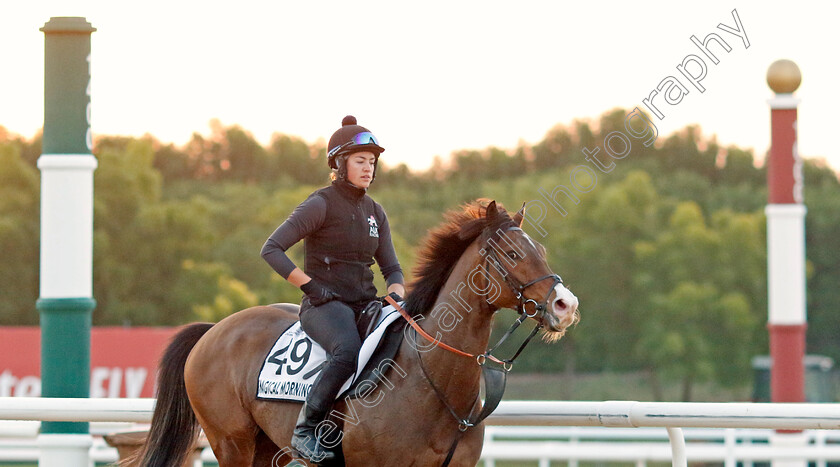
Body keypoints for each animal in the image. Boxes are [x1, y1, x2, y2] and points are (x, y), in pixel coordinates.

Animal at [138, 199, 580, 466]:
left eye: (540, 250)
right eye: (512, 254)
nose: (566, 305)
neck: (431, 379)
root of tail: (214, 330)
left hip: (263, 444)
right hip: (232, 443)